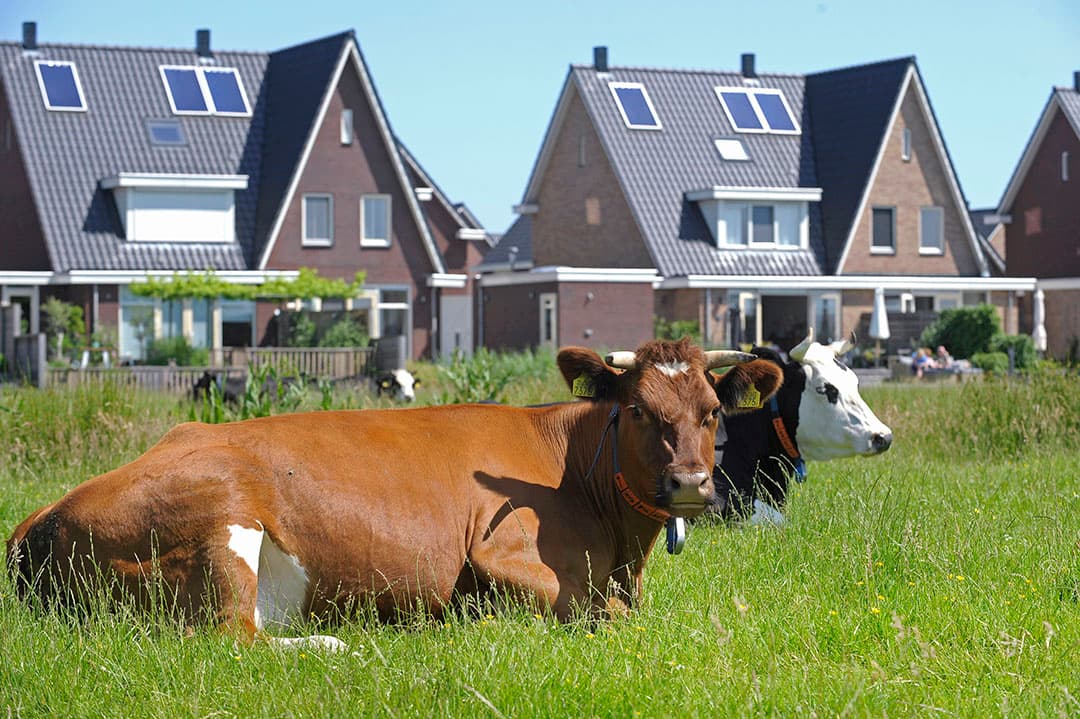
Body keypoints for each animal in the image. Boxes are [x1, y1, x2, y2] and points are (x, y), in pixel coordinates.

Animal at [7, 339, 782, 650]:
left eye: (712, 410)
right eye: (640, 411)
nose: (690, 483)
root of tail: (44, 514)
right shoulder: (503, 554)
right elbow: (606, 616)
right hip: (217, 528)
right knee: (230, 637)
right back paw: (337, 641)